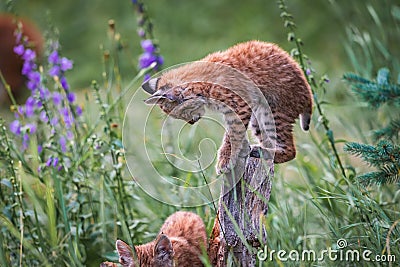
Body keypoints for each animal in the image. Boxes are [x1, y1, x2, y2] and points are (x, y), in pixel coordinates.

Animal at [143, 39, 312, 174]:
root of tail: (308, 91)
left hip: (272, 112)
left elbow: (232, 134)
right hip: (258, 118)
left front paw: (225, 161)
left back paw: (263, 153)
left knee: (291, 151)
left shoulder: (240, 106)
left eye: (180, 114)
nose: (192, 122)